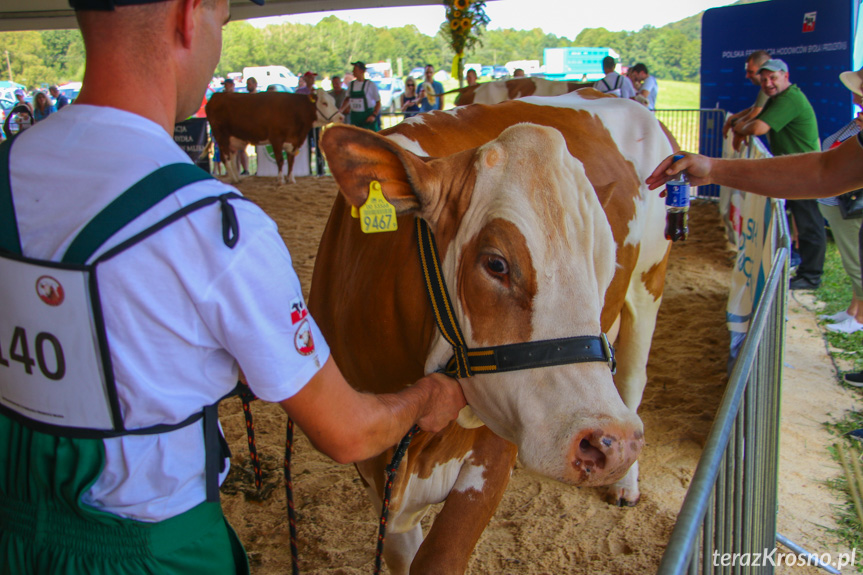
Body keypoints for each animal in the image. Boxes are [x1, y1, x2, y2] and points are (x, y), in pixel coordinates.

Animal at [207, 89, 344, 187]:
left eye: (333, 102)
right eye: (324, 103)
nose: (341, 117)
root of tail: (217, 96)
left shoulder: (293, 141)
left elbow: (291, 161)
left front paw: (291, 179)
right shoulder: (276, 139)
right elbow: (280, 160)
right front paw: (280, 180)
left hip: (233, 139)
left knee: (232, 156)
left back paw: (237, 178)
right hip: (221, 136)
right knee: (225, 158)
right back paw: (234, 179)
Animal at [310, 91, 676, 575]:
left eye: (603, 257)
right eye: (496, 263)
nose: (609, 444)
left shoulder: (495, 445)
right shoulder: (372, 464)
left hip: (649, 282)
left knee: (633, 380)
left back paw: (626, 484)